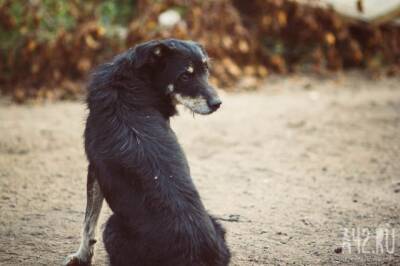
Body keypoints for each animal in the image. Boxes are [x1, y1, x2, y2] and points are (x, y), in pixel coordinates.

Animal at [64, 39, 230, 266]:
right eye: (184, 76)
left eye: (206, 69)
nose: (217, 104)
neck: (131, 83)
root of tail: (196, 256)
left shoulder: (94, 168)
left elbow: (88, 222)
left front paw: (81, 256)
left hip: (112, 227)